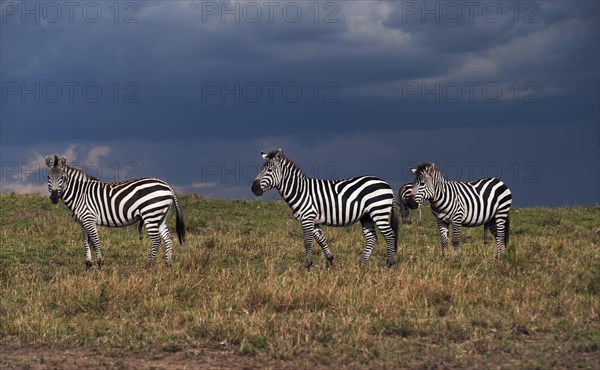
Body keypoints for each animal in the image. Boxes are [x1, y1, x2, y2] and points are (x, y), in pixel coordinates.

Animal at [46, 155, 184, 270]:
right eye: (48, 177)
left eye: (62, 178)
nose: (54, 198)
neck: (80, 194)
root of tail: (167, 186)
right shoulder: (83, 222)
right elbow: (86, 243)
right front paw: (88, 266)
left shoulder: (89, 218)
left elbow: (95, 241)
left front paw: (100, 264)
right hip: (160, 216)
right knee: (168, 237)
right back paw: (167, 264)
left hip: (150, 214)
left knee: (156, 240)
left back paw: (148, 266)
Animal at [251, 149, 400, 270]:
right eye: (260, 170)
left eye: (269, 171)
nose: (254, 189)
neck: (300, 191)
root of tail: (387, 184)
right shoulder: (313, 220)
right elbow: (321, 240)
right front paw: (330, 261)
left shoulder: (307, 218)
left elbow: (307, 242)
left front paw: (308, 266)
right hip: (366, 216)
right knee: (372, 238)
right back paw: (361, 264)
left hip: (379, 212)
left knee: (390, 235)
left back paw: (388, 264)